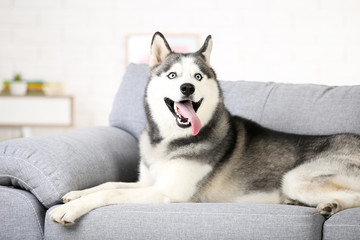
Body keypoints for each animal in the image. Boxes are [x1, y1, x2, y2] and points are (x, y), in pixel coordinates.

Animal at [49, 31, 360, 225]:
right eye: (173, 75)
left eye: (198, 76)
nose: (187, 87)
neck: (171, 140)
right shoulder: (147, 182)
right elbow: (109, 184)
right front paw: (76, 194)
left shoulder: (167, 193)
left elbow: (109, 193)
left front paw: (69, 209)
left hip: (295, 177)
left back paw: (331, 204)